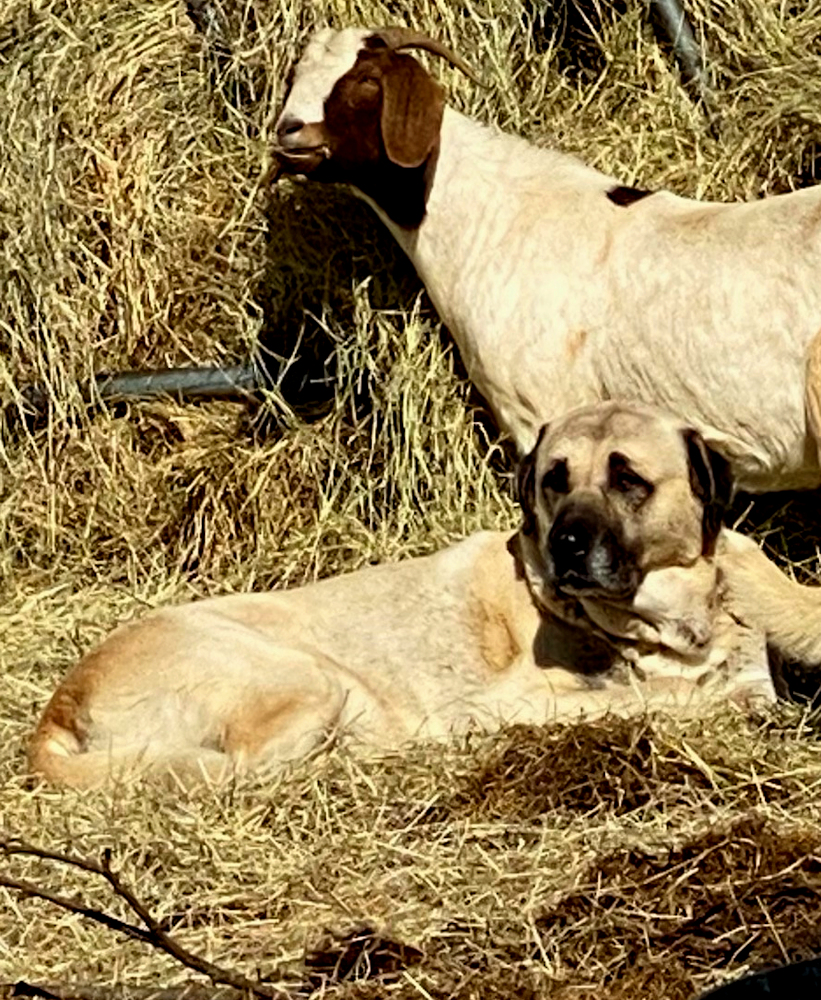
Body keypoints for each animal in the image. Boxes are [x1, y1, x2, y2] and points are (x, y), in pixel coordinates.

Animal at [28, 400, 816, 788]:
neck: (667, 624)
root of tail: (60, 704)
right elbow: (658, 697)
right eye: (554, 479)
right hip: (308, 678)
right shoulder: (520, 700)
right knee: (251, 767)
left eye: (628, 479)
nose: (565, 544)